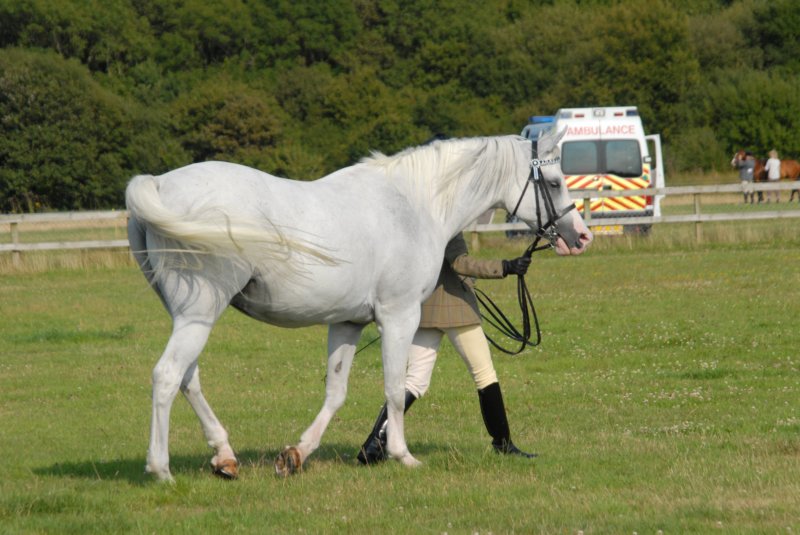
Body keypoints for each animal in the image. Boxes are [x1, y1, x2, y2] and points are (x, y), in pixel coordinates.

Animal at [125, 131, 593, 482]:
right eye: (554, 182)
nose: (581, 235)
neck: (415, 205)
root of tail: (158, 184)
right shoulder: (399, 317)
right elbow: (395, 389)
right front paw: (403, 455)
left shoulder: (347, 322)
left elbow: (336, 393)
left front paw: (296, 454)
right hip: (198, 316)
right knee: (167, 376)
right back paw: (161, 469)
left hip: (190, 317)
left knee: (188, 379)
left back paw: (224, 456)